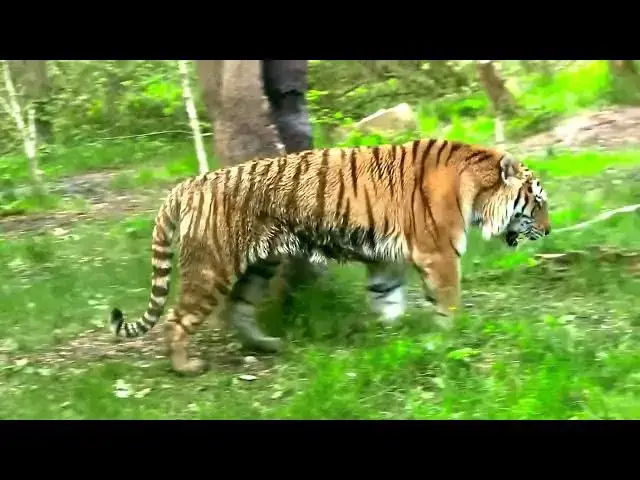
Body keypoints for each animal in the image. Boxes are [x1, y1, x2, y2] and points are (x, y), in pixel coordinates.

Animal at [110, 138, 551, 376]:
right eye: (539, 202)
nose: (548, 231)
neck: (476, 188)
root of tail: (187, 185)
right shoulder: (439, 254)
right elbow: (449, 301)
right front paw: (452, 338)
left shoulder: (388, 261)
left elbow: (388, 299)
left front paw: (394, 339)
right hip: (211, 267)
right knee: (177, 319)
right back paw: (185, 367)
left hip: (259, 266)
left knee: (238, 309)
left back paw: (267, 345)